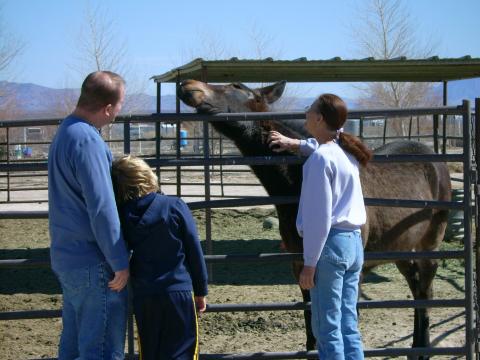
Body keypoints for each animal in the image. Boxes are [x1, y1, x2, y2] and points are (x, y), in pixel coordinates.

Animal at [177, 78, 454, 354]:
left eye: (235, 86)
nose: (188, 85)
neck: (297, 181)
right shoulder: (300, 263)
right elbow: (311, 319)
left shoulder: (354, 269)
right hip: (401, 248)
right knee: (416, 285)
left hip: (429, 245)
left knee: (426, 288)